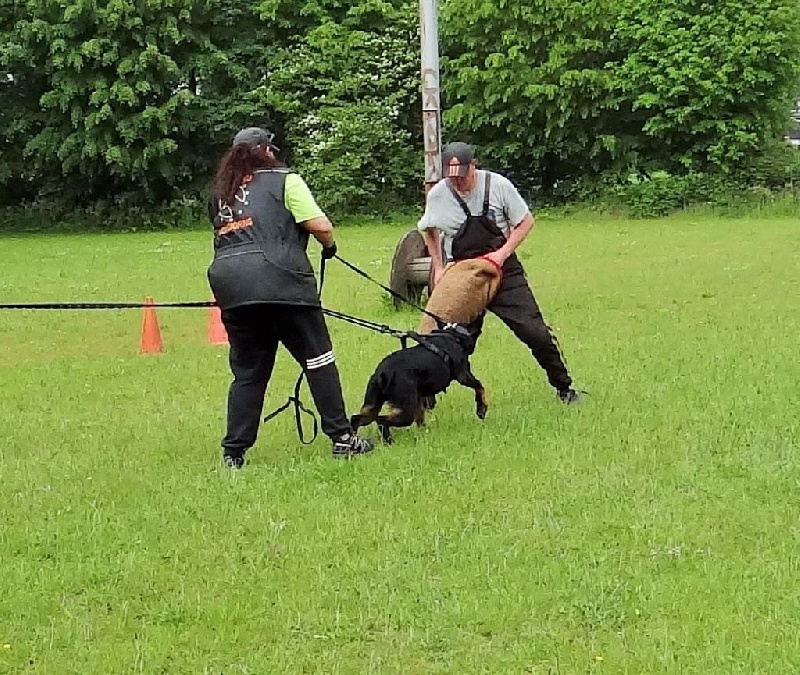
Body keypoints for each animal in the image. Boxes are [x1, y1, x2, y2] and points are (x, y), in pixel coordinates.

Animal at [352, 324, 488, 444]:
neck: (454, 335)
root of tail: (382, 373)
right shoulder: (463, 376)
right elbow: (480, 387)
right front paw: (481, 409)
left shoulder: (418, 398)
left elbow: (420, 418)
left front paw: (424, 433)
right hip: (406, 412)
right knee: (381, 421)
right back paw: (389, 441)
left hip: (372, 405)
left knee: (356, 419)